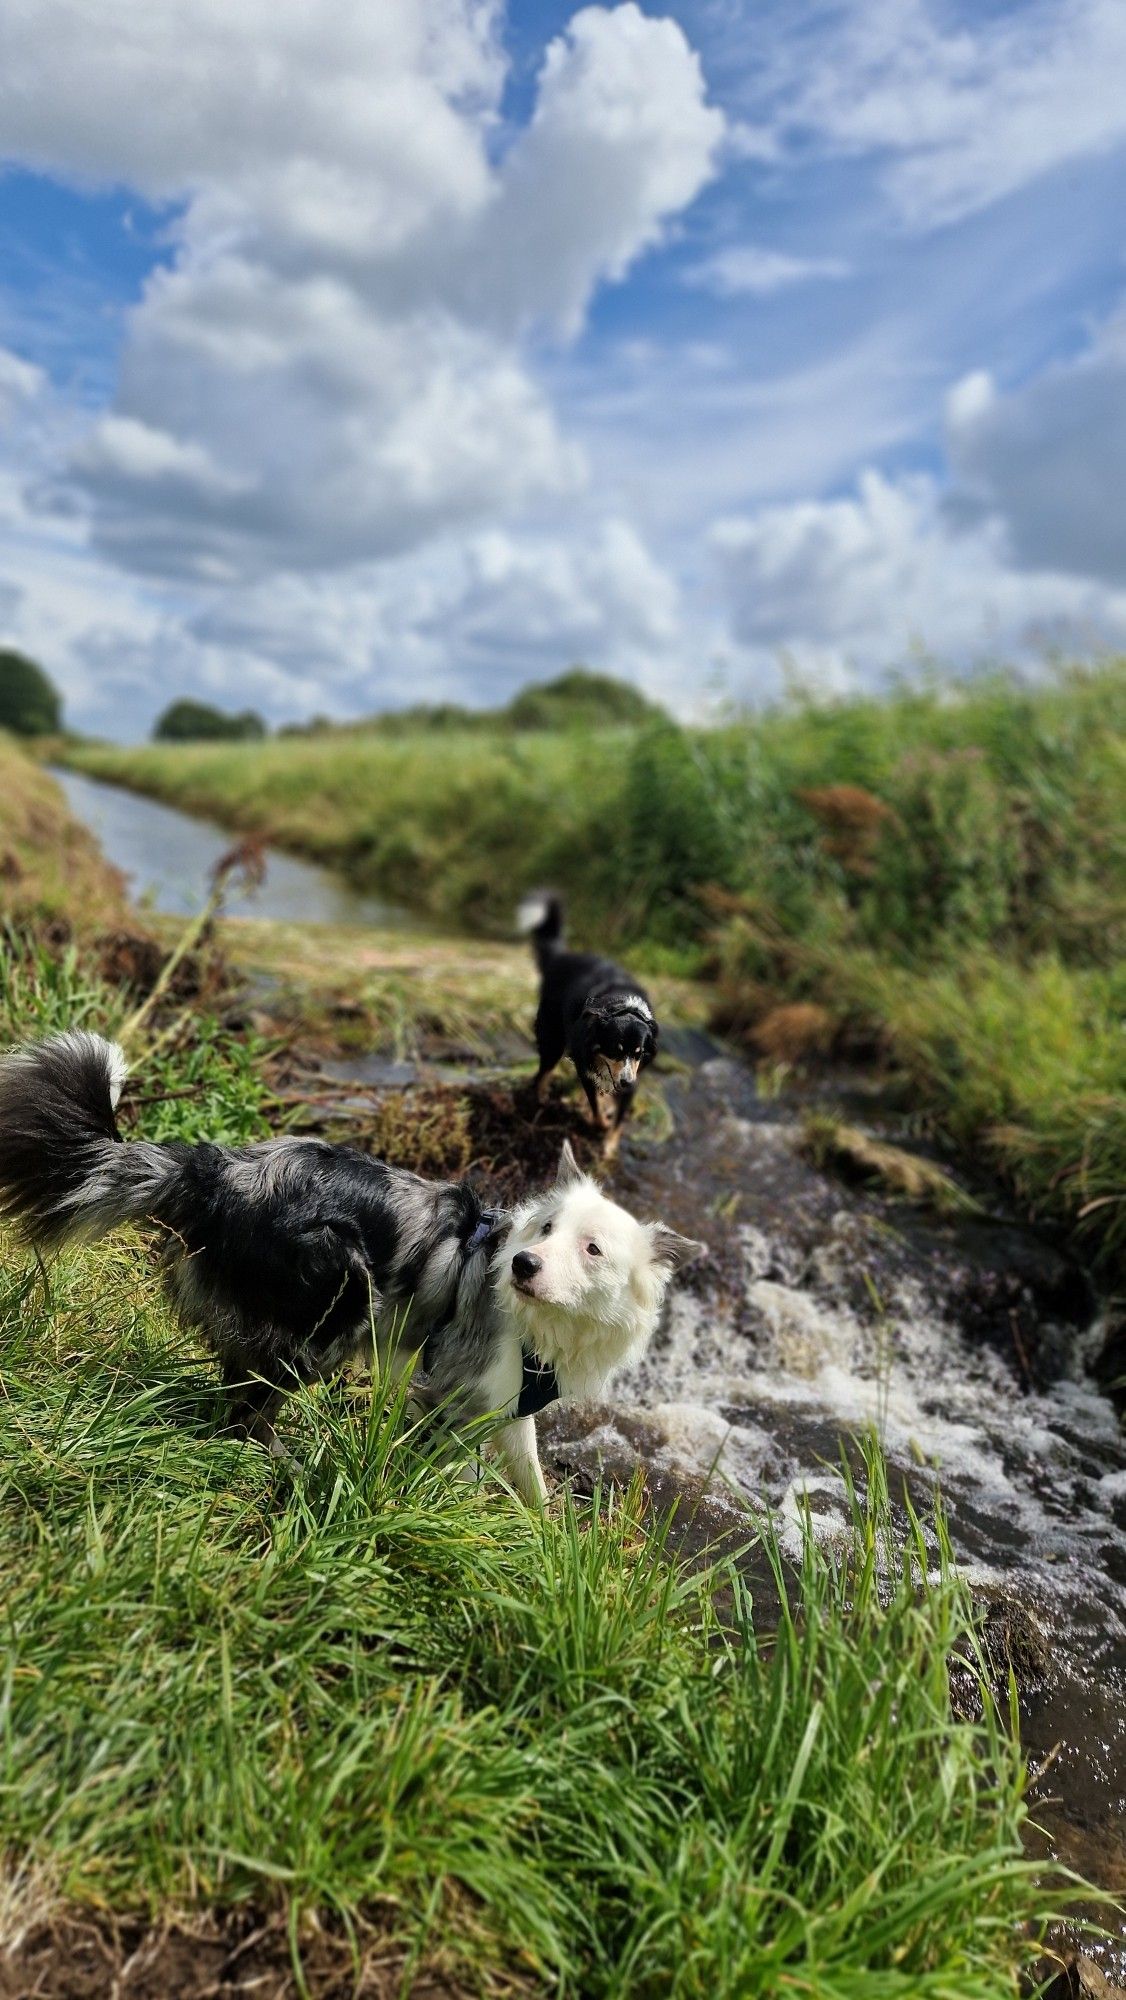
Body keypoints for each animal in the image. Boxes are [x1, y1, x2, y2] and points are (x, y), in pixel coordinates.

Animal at [0, 1032, 704, 1504]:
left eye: (592, 1249)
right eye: (547, 1230)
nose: (524, 1266)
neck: (545, 1330)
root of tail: (217, 1170)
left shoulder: (506, 1406)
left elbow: (531, 1481)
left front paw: (548, 1547)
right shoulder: (447, 1392)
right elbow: (432, 1462)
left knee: (239, 1389)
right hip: (339, 1296)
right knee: (252, 1406)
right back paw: (282, 1463)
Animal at [520, 892, 660, 1160]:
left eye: (639, 1053)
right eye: (615, 1050)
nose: (627, 1083)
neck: (621, 1006)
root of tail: (561, 957)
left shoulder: (632, 1077)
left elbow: (618, 1120)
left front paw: (609, 1145)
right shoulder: (584, 1066)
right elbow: (595, 1107)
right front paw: (601, 1124)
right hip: (552, 1040)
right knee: (542, 1072)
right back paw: (540, 1097)